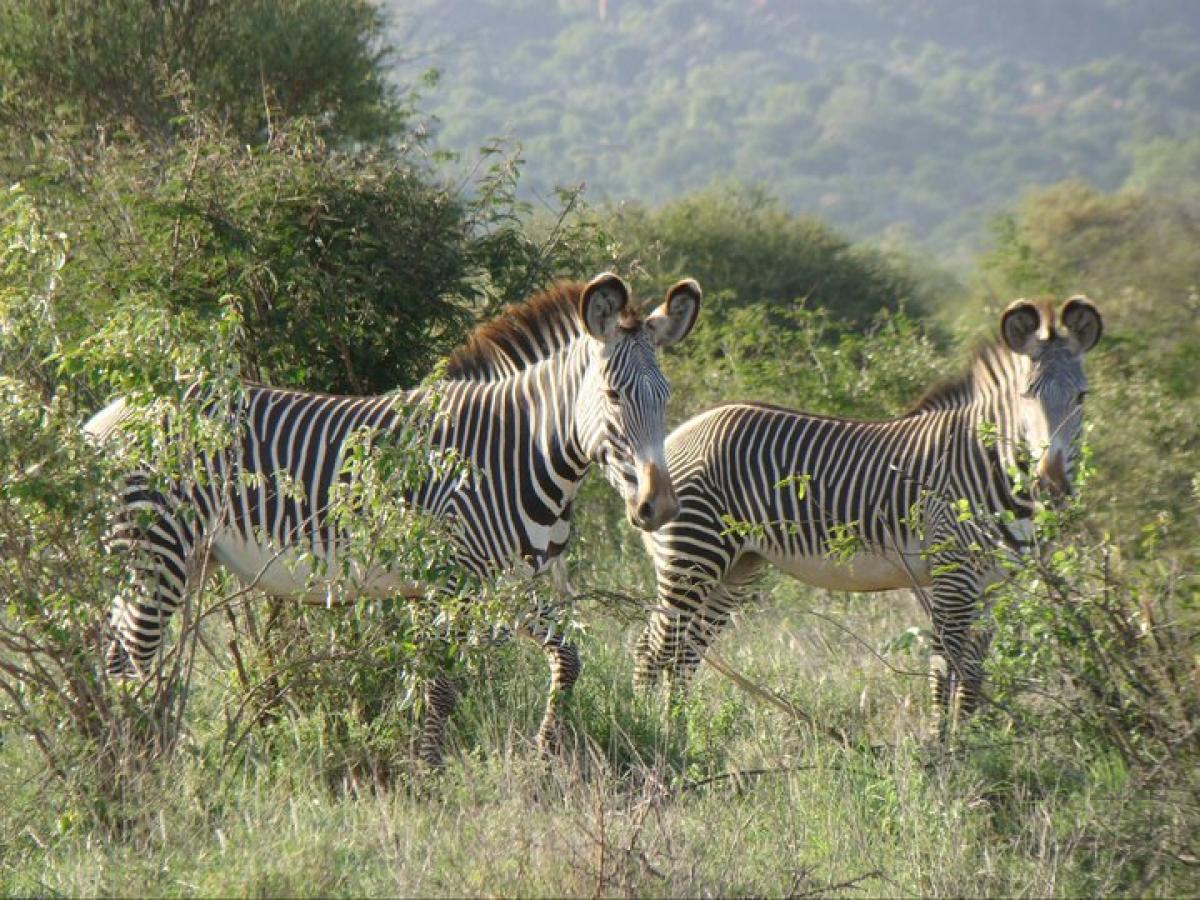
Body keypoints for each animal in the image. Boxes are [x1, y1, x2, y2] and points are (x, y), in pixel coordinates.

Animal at [88, 273, 700, 763]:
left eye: (666, 396)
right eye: (614, 395)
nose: (661, 507)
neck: (519, 451)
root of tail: (109, 414)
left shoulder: (512, 584)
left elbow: (568, 659)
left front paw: (545, 752)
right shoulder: (455, 580)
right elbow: (442, 687)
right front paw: (426, 772)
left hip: (182, 558)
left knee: (115, 658)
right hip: (154, 552)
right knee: (127, 666)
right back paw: (134, 769)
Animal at [633, 296, 1099, 734]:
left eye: (1082, 398)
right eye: (1027, 396)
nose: (1052, 485)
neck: (987, 462)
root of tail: (677, 434)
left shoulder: (996, 585)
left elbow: (973, 674)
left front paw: (969, 743)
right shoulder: (953, 572)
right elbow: (945, 666)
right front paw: (941, 749)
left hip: (737, 567)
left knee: (684, 652)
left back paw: (679, 731)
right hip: (693, 554)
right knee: (653, 648)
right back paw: (651, 733)